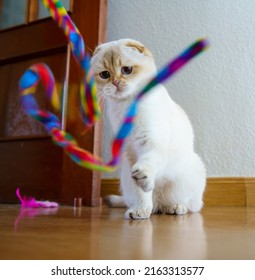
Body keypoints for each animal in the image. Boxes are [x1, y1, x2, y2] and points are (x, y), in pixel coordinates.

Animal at [90, 38, 206, 219]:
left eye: (126, 70)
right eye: (105, 75)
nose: (115, 82)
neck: (127, 105)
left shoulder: (150, 138)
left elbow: (148, 162)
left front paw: (143, 176)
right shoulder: (129, 151)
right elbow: (141, 194)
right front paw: (140, 211)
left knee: (188, 205)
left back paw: (175, 207)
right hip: (126, 178)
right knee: (151, 203)